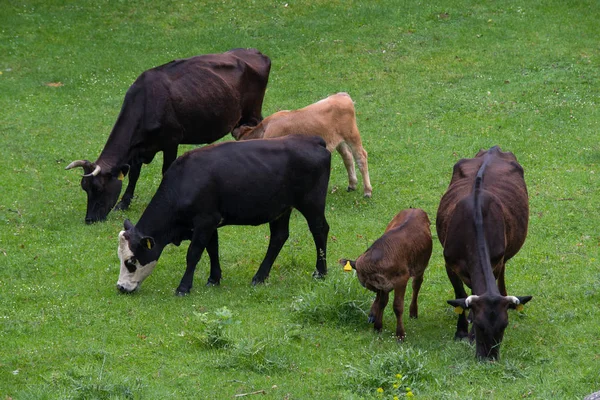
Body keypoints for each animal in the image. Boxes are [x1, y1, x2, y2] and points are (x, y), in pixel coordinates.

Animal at [65, 48, 270, 223]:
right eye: (84, 187)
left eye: (98, 188)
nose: (89, 219)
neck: (146, 103)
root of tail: (254, 52)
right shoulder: (138, 149)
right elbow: (134, 175)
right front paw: (124, 203)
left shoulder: (171, 142)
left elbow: (166, 170)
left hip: (252, 113)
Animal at [116, 136, 332, 296]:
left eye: (131, 262)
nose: (121, 287)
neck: (184, 182)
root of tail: (312, 140)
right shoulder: (210, 223)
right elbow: (213, 249)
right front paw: (214, 278)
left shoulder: (205, 221)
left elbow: (194, 253)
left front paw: (184, 287)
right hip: (281, 209)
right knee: (279, 237)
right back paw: (260, 276)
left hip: (312, 203)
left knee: (319, 230)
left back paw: (320, 272)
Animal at [231, 91, 368, 197]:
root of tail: (341, 95)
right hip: (339, 141)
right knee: (348, 157)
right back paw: (352, 185)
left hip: (352, 135)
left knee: (361, 157)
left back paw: (367, 191)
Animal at [338, 208, 432, 340]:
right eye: (369, 286)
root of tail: (414, 209)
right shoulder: (383, 284)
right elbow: (382, 302)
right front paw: (377, 326)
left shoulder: (401, 280)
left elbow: (397, 306)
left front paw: (400, 334)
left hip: (420, 266)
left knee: (416, 285)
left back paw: (413, 311)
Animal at [434, 146, 532, 360]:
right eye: (480, 326)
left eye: (505, 325)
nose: (489, 358)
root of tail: (493, 149)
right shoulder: (449, 263)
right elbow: (461, 294)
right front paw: (462, 331)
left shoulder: (495, 261)